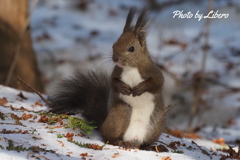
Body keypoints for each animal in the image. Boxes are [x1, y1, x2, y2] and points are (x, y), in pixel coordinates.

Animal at [49, 6, 164, 148]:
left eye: (131, 48)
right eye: (113, 45)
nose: (115, 59)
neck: (131, 68)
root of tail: (133, 140)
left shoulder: (153, 71)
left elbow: (157, 82)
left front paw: (140, 88)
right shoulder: (116, 72)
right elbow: (113, 83)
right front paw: (123, 88)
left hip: (155, 124)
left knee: (144, 142)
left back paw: (150, 147)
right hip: (120, 113)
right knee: (107, 136)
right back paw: (118, 141)